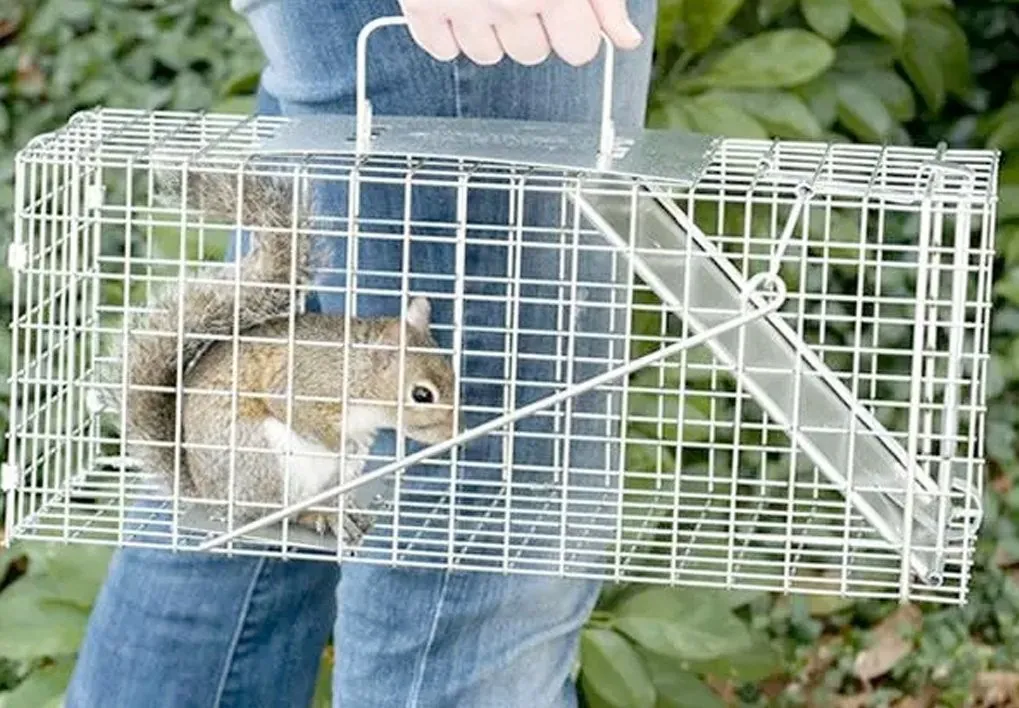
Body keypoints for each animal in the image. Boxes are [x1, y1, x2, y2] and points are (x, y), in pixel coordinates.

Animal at [102, 166, 458, 546]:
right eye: (422, 395)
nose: (458, 431)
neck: (355, 373)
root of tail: (211, 494)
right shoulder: (307, 382)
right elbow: (292, 408)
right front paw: (343, 440)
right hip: (264, 460)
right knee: (280, 513)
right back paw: (314, 514)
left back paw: (340, 512)